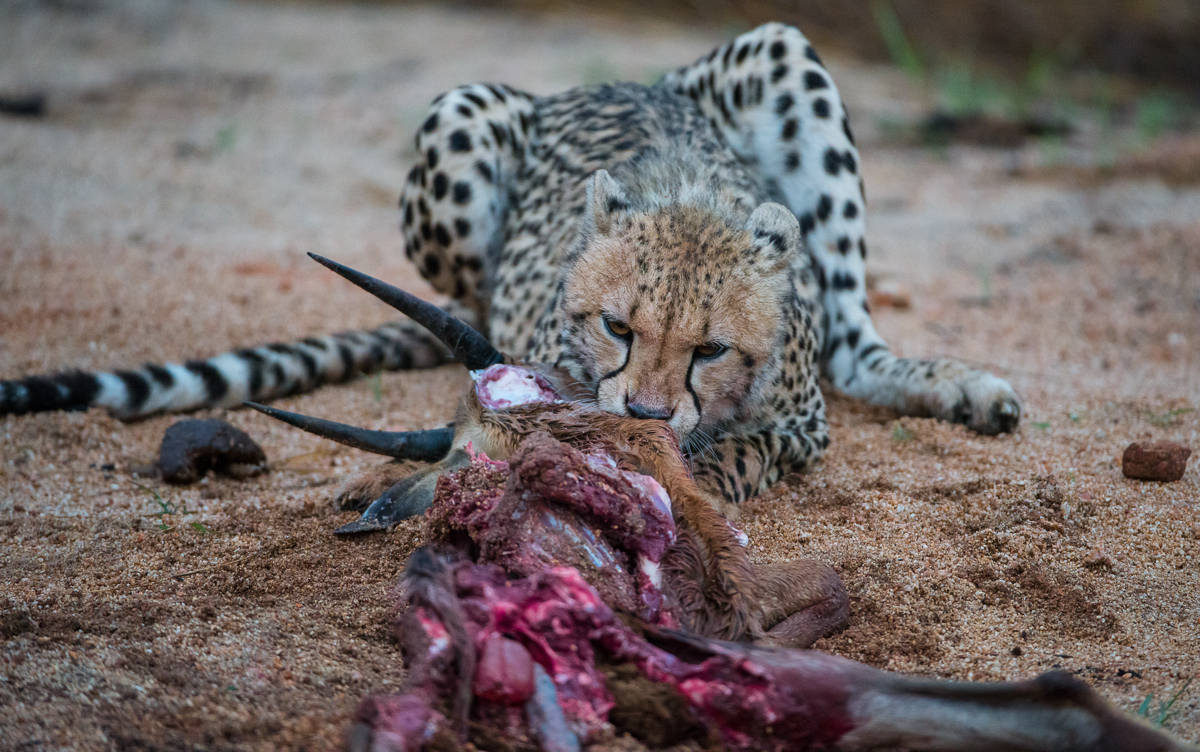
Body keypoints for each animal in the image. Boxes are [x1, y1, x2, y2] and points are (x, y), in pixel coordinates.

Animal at [0, 22, 1020, 509]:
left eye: (712, 349)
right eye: (617, 327)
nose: (647, 414)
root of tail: (625, 79)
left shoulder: (799, 429)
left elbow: (735, 452)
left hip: (783, 51)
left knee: (857, 346)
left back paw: (960, 387)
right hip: (457, 125)